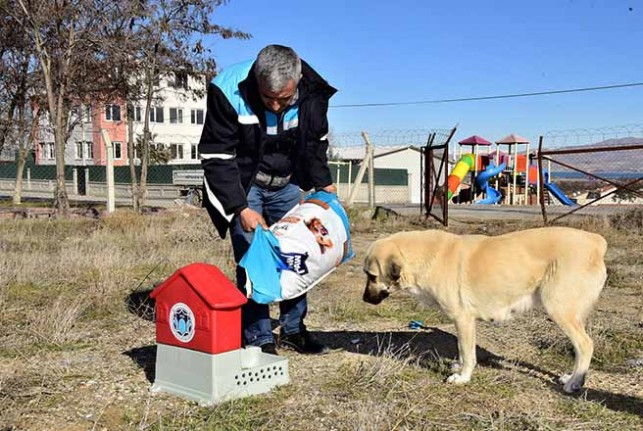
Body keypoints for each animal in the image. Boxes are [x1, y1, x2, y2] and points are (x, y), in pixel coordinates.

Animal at [362, 228, 608, 394]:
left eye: (372, 276)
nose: (364, 299)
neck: (427, 255)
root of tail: (596, 241)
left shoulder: (463, 318)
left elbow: (467, 351)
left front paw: (463, 377)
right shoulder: (463, 322)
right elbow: (462, 350)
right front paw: (459, 367)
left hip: (559, 310)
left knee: (585, 345)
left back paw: (574, 382)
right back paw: (571, 377)